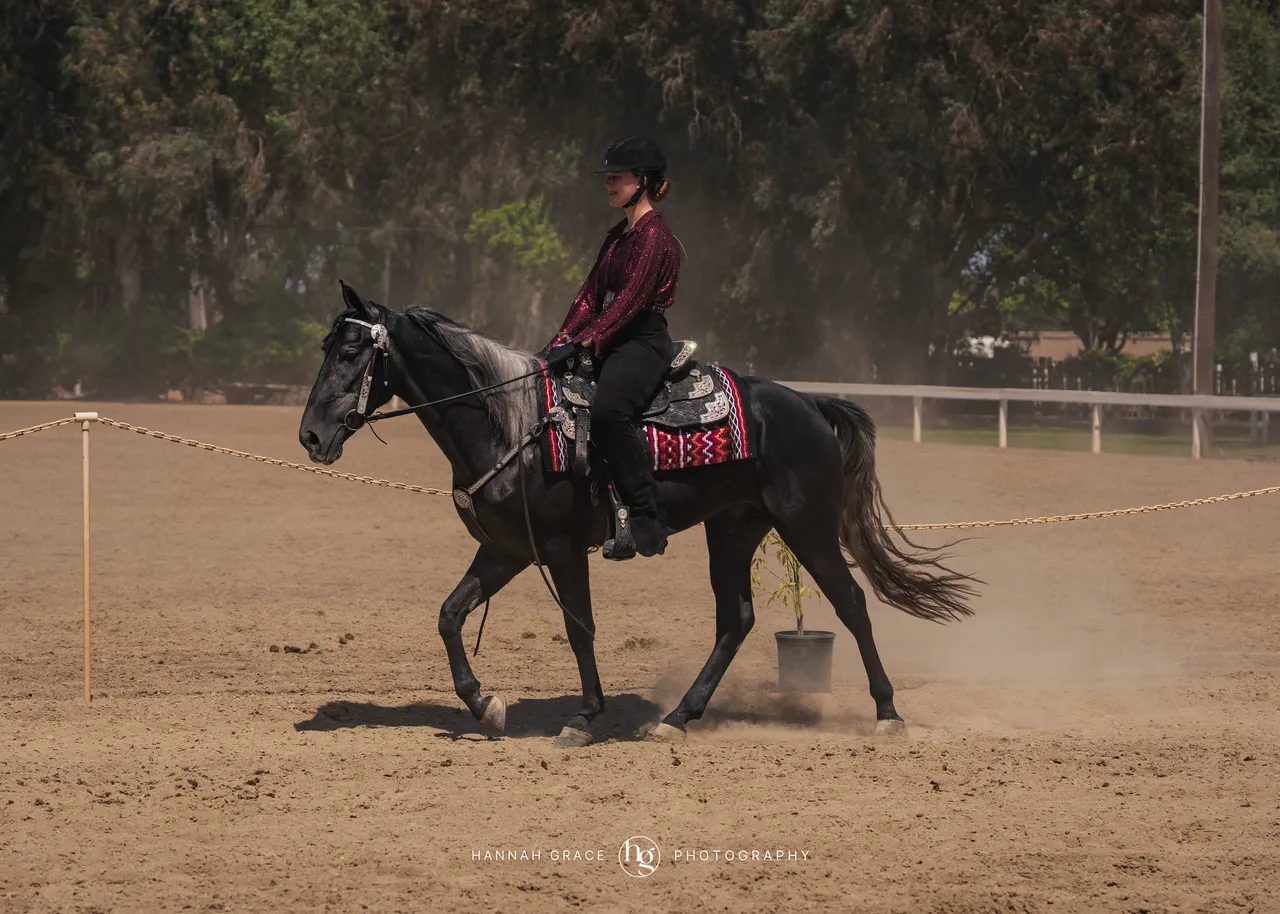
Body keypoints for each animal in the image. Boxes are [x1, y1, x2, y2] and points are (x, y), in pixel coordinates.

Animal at [298, 282, 976, 747]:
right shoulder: (509, 549)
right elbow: (449, 615)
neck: (510, 423)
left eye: (353, 351)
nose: (310, 435)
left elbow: (579, 627)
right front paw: (484, 705)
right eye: (327, 346)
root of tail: (808, 404)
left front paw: (582, 718)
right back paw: (678, 717)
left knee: (851, 603)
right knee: (736, 619)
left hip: (807, 526)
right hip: (733, 530)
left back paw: (887, 714)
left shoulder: (561, 548)